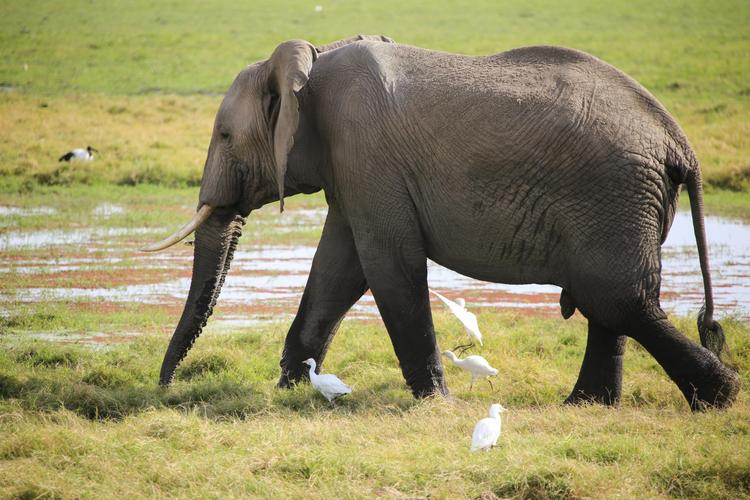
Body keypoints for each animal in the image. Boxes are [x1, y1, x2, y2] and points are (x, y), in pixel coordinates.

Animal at [142, 34, 740, 410]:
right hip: (625, 200)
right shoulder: (352, 170)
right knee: (609, 304)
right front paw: (290, 391)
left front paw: (437, 403)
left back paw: (720, 399)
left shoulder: (366, 152)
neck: (310, 59)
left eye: (223, 136)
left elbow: (388, 264)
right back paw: (585, 407)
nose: (162, 390)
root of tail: (678, 141)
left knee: (617, 299)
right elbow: (338, 271)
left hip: (615, 194)